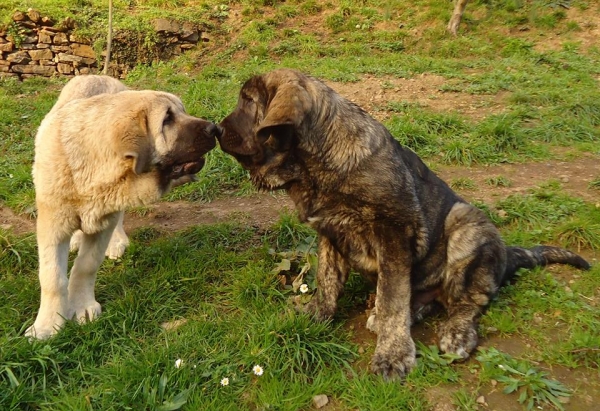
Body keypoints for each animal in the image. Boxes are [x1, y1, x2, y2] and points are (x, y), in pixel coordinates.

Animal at [26, 75, 220, 340]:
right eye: (167, 120)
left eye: (182, 112)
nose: (215, 128)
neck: (91, 169)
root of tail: (99, 75)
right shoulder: (51, 226)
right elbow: (52, 278)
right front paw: (47, 325)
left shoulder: (103, 222)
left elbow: (85, 266)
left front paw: (82, 306)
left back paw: (116, 242)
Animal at [217, 69, 592, 382]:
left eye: (248, 102)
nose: (216, 130)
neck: (317, 164)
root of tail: (507, 254)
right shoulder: (330, 232)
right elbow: (327, 281)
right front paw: (316, 315)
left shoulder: (394, 234)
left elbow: (392, 296)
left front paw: (393, 355)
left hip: (467, 224)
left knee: (471, 301)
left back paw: (456, 332)